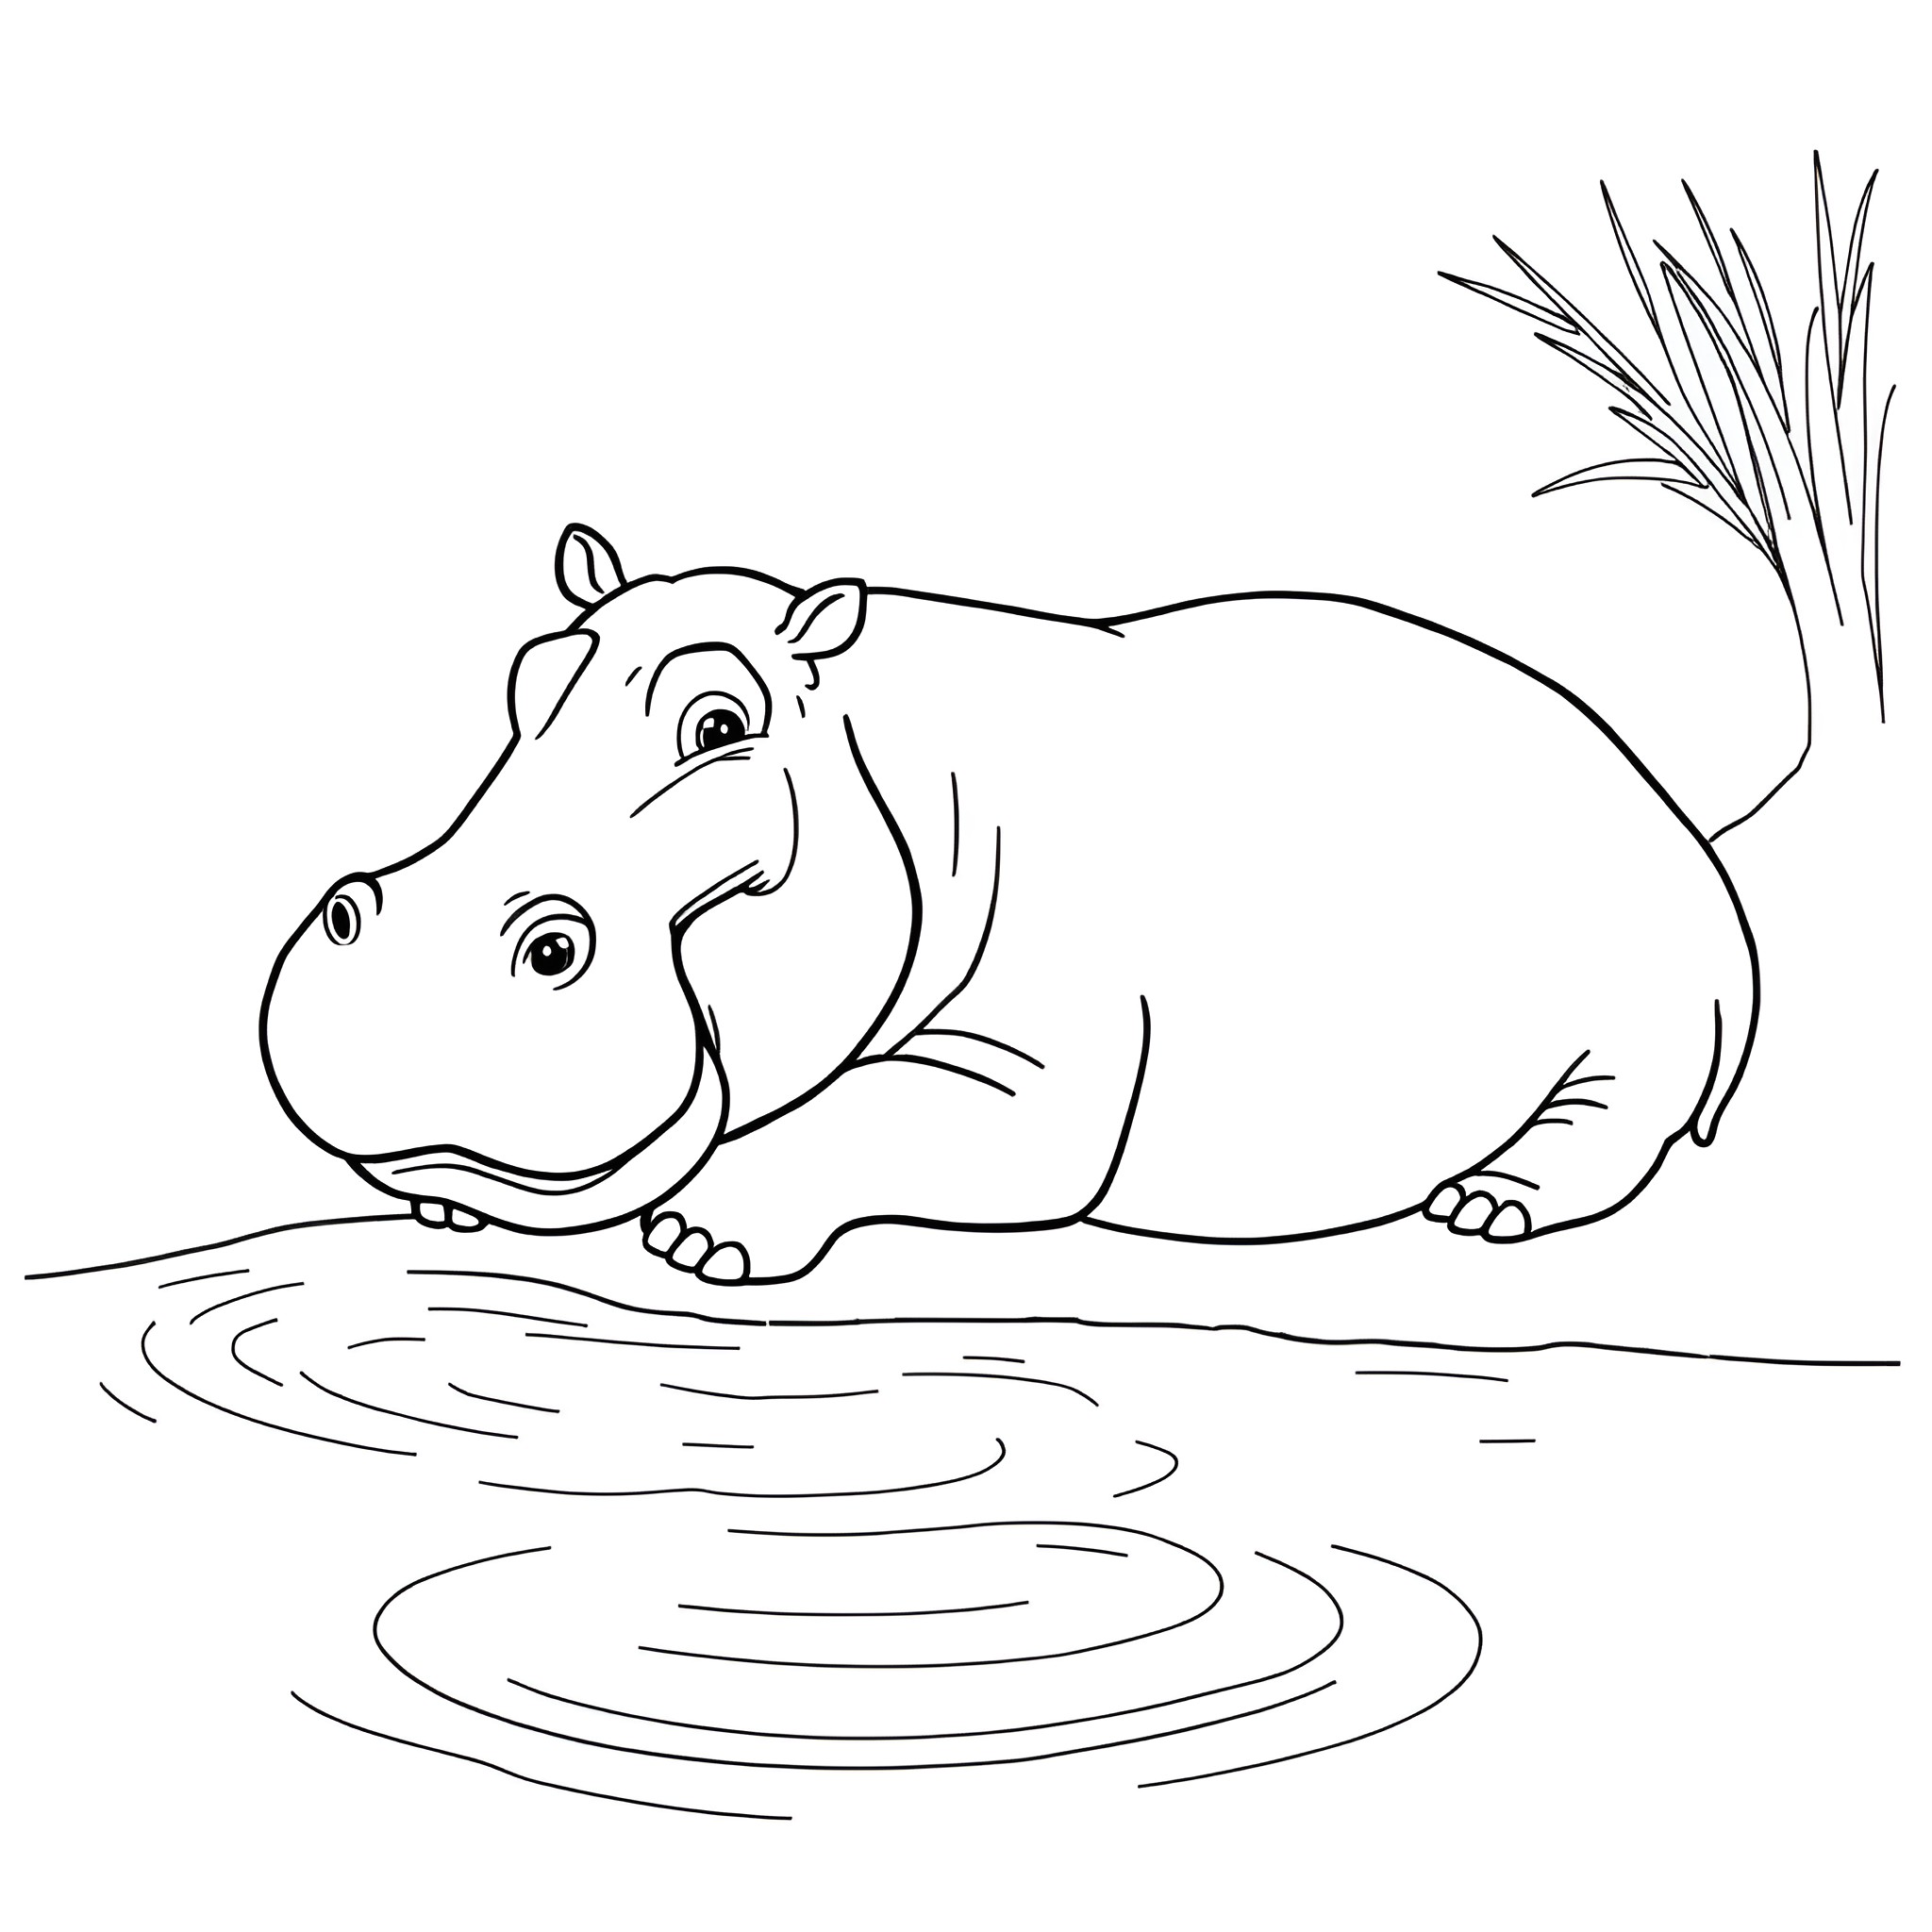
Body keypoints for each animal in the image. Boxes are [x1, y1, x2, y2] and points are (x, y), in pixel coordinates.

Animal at [261, 525, 1758, 1282]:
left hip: (1644, 996)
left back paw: (1484, 1208)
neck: (884, 751)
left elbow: (874, 1111)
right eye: (525, 675)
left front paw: (702, 1243)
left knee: (1613, 1110)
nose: (394, 957)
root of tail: (1676, 809)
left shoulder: (1033, 1070)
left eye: (719, 722)